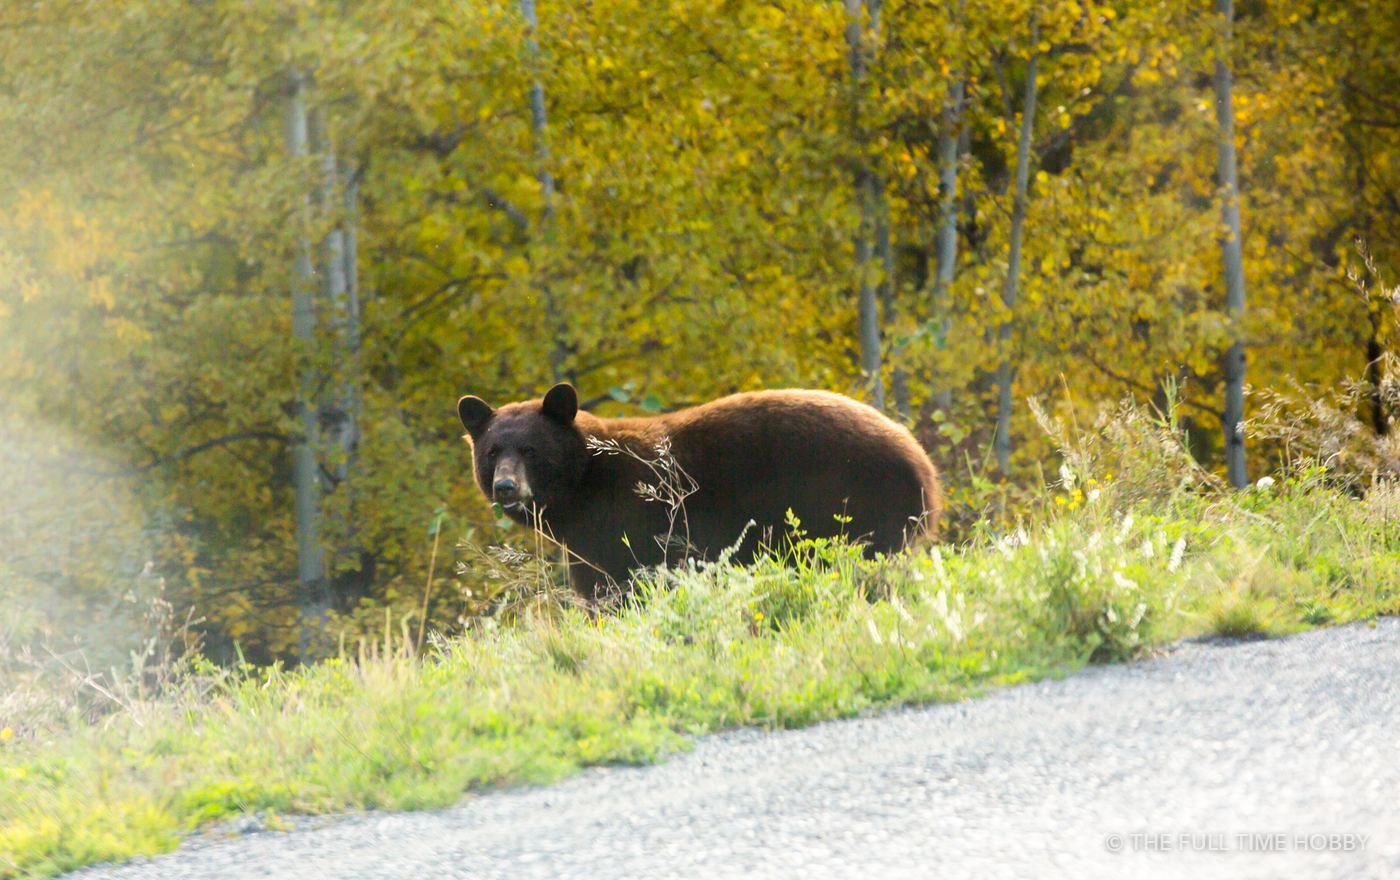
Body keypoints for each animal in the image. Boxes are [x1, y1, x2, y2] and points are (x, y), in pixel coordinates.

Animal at [457, 383, 942, 601]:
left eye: (531, 449)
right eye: (492, 451)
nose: (505, 486)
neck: (586, 483)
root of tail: (924, 465)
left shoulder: (631, 524)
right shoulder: (586, 544)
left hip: (856, 503)